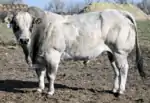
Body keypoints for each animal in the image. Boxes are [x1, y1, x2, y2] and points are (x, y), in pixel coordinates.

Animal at [5, 7, 145, 96]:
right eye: (15, 25)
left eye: (31, 26)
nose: (24, 40)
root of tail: (120, 12)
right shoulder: (39, 59)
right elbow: (40, 74)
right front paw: (40, 89)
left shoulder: (52, 56)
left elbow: (50, 76)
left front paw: (50, 92)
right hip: (111, 53)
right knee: (116, 70)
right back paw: (114, 89)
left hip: (120, 52)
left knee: (123, 69)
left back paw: (121, 90)